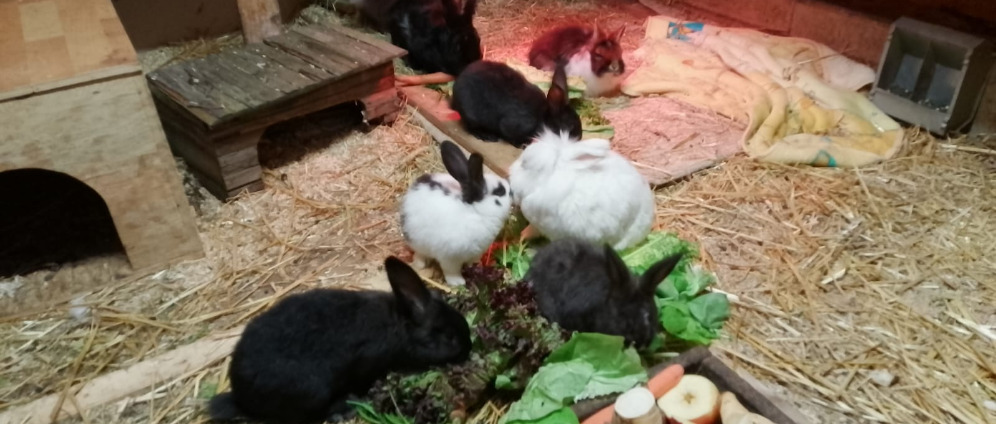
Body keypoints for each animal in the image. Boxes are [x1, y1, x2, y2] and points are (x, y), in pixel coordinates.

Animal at [400, 140, 512, 286]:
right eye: (500, 191)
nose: (512, 190)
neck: (476, 212)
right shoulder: (450, 258)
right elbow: (451, 271)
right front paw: (458, 283)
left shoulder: (476, 253)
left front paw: (476, 269)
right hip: (417, 241)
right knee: (420, 254)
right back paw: (420, 264)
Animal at [450, 59, 582, 148]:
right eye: (570, 126)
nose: (579, 138)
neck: (542, 117)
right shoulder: (513, 126)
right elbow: (511, 136)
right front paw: (523, 145)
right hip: (472, 116)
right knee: (470, 128)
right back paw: (487, 136)